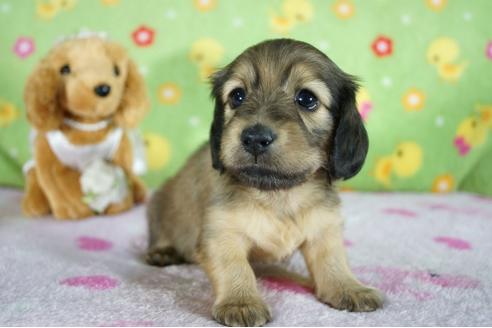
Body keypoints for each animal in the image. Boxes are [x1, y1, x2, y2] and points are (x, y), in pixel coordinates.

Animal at [148, 38, 382, 326]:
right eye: (237, 96)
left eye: (307, 98)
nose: (255, 138)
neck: (278, 194)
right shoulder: (220, 234)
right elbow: (235, 267)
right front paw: (240, 302)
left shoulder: (324, 229)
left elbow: (333, 261)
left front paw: (349, 288)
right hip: (158, 206)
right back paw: (163, 252)